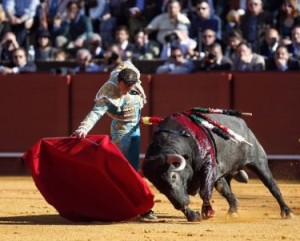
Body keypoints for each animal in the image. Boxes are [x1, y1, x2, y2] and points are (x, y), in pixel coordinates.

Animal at [142, 113, 292, 222]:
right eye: (159, 187)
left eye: (173, 176)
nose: (180, 203)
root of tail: (244, 125)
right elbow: (220, 190)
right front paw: (193, 215)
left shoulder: (209, 166)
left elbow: (204, 191)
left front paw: (207, 212)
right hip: (226, 172)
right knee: (227, 188)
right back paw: (233, 210)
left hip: (258, 161)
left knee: (272, 185)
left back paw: (287, 211)